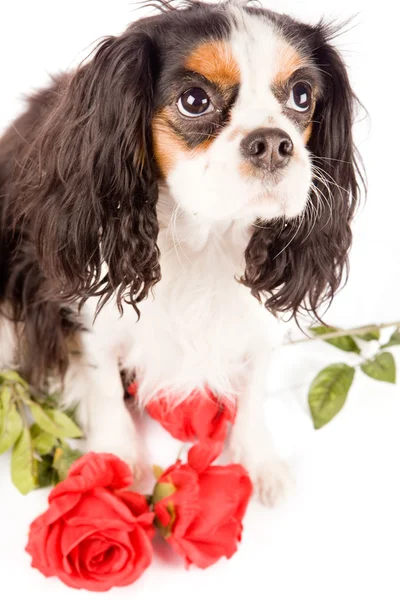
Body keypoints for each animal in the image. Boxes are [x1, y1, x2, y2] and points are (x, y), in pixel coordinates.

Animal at [0, 2, 362, 504]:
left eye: (302, 95)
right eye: (194, 100)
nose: (273, 142)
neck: (206, 235)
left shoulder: (258, 316)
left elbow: (254, 385)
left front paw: (258, 458)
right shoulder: (88, 312)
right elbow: (103, 386)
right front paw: (118, 464)